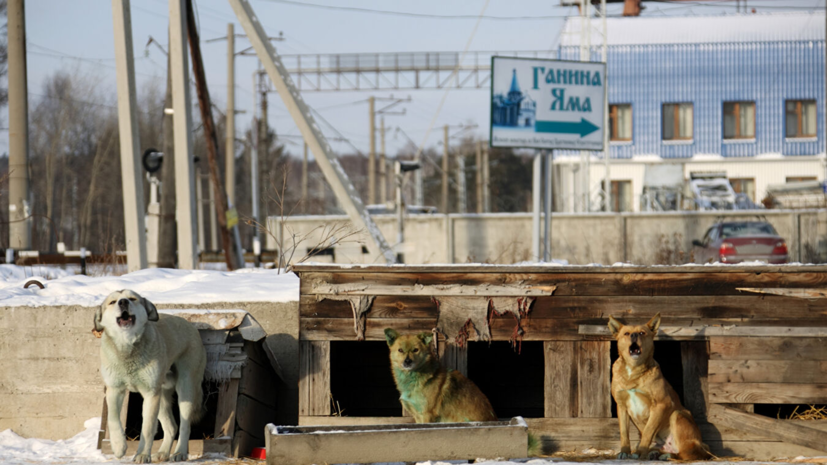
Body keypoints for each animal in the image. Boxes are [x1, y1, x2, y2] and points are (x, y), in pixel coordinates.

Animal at [94, 290, 207, 460]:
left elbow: (147, 428)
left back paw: (179, 452)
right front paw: (119, 446)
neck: (128, 348)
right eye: (112, 302)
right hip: (161, 397)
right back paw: (163, 453)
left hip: (185, 389)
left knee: (184, 425)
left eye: (132, 298)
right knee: (172, 426)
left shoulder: (150, 393)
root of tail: (191, 325)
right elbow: (113, 418)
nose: (123, 302)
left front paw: (142, 455)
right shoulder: (114, 390)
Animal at [608, 312, 712, 460]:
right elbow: (624, 433)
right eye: (626, 333)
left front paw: (641, 453)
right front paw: (625, 452)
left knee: (688, 452)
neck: (633, 371)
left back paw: (665, 455)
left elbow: (648, 431)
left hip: (678, 415)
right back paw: (655, 453)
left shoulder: (661, 404)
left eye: (642, 332)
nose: (634, 335)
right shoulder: (621, 405)